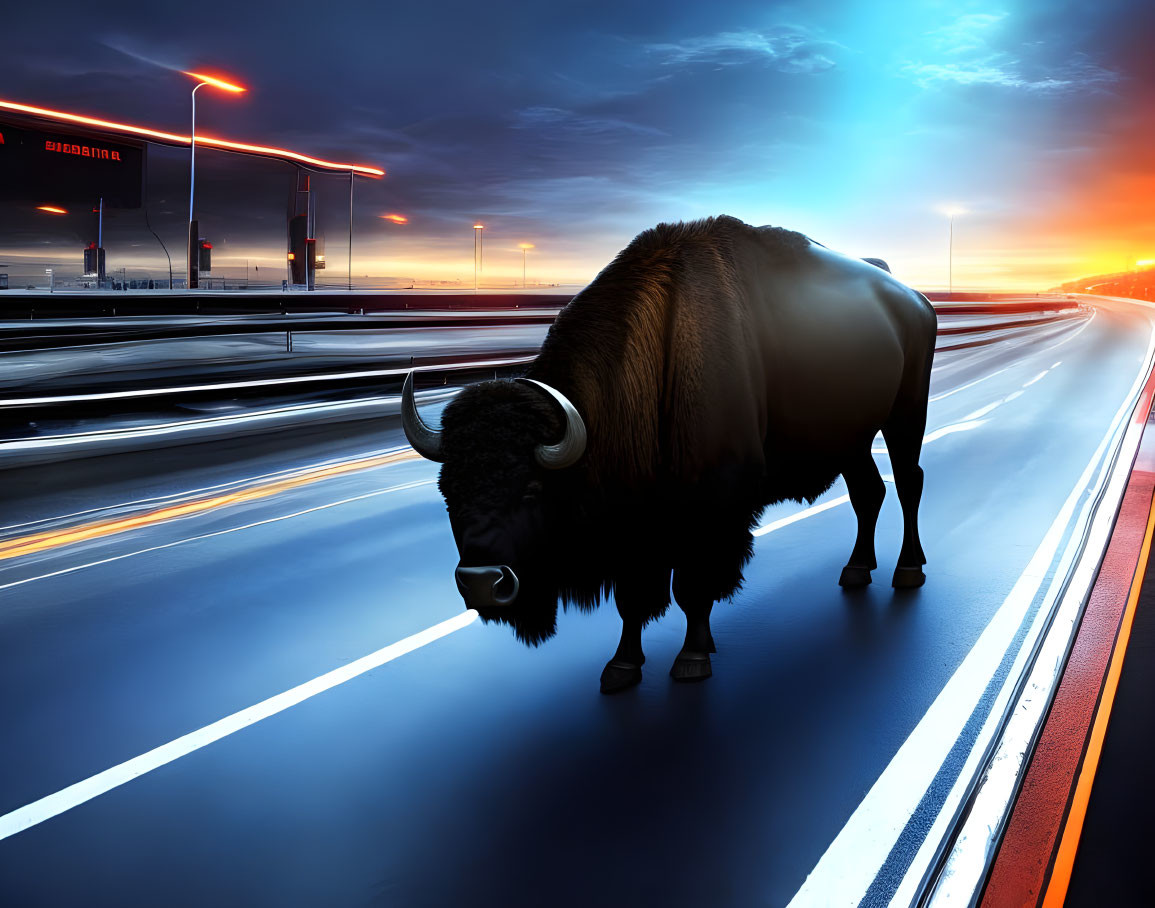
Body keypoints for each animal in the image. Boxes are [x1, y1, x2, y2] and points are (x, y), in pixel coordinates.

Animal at [401, 216, 933, 688]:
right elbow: (633, 598)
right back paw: (856, 570)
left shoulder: (710, 511)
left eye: (532, 488)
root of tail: (914, 299)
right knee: (868, 492)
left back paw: (907, 571)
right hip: (852, 439)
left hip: (905, 418)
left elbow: (692, 588)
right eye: (448, 492)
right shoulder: (636, 525)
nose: (481, 582)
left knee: (909, 482)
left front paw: (692, 659)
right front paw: (621, 667)